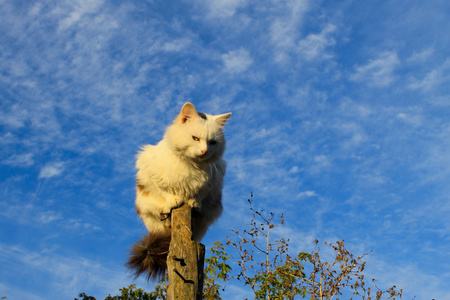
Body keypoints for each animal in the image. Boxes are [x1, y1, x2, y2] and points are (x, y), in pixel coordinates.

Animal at [127, 102, 230, 280]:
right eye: (195, 138)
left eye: (212, 142)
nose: (204, 151)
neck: (191, 165)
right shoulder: (154, 176)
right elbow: (167, 191)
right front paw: (174, 200)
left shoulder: (209, 185)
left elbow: (197, 195)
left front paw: (193, 202)